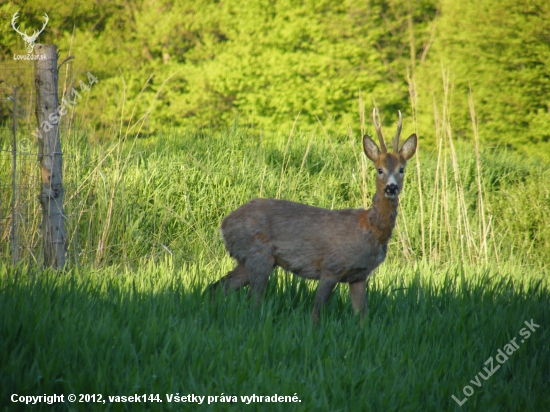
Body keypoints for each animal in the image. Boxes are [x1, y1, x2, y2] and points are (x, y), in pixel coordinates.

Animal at [211, 110, 418, 326]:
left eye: (402, 169)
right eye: (379, 169)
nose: (391, 188)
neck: (369, 229)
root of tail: (224, 225)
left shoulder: (359, 275)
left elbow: (362, 317)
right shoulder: (331, 267)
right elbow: (315, 314)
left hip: (247, 260)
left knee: (218, 287)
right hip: (258, 255)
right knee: (252, 301)